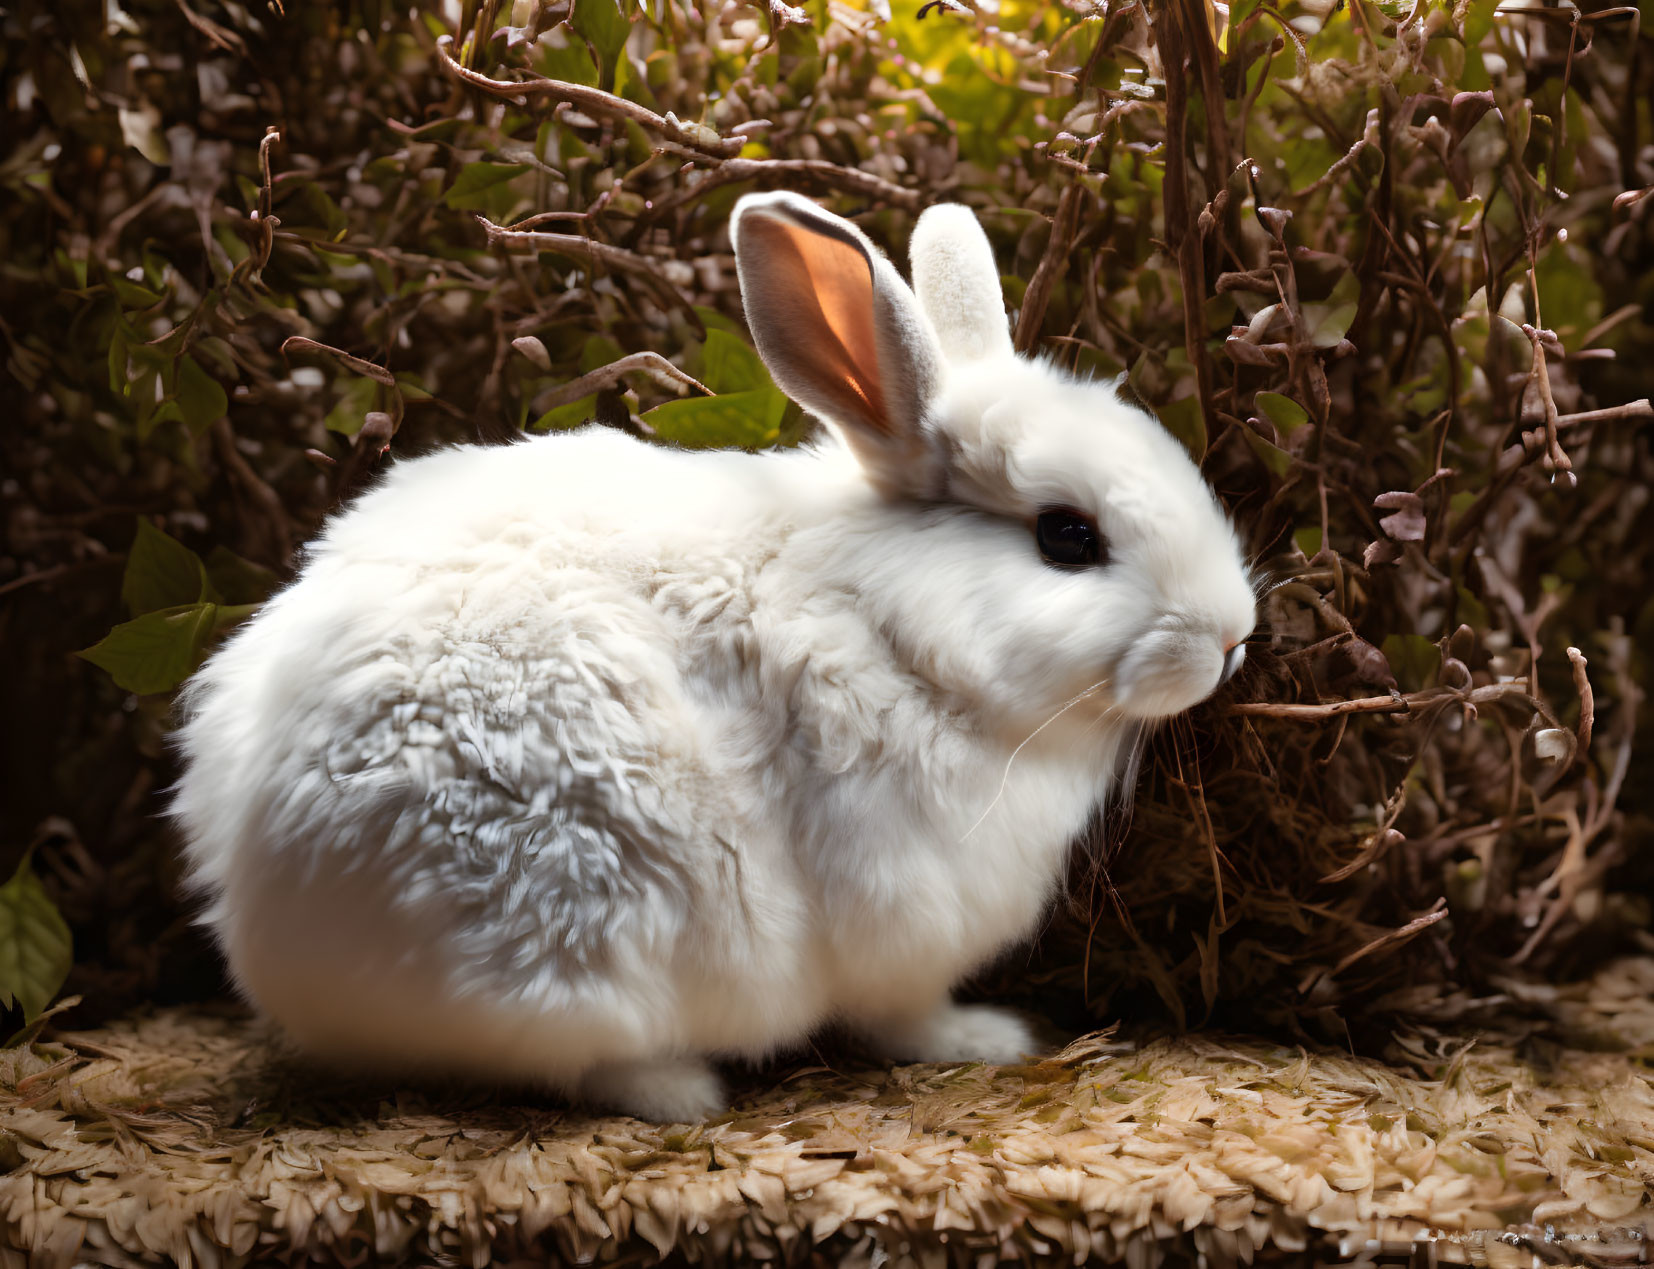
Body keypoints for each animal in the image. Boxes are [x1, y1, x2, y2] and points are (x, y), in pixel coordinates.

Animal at [171, 191, 1250, 1125]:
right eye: (1068, 537)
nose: (1231, 635)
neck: (905, 629)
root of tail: (276, 926)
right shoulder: (903, 905)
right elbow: (904, 1012)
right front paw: (983, 1037)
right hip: (586, 931)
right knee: (573, 1059)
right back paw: (680, 1090)